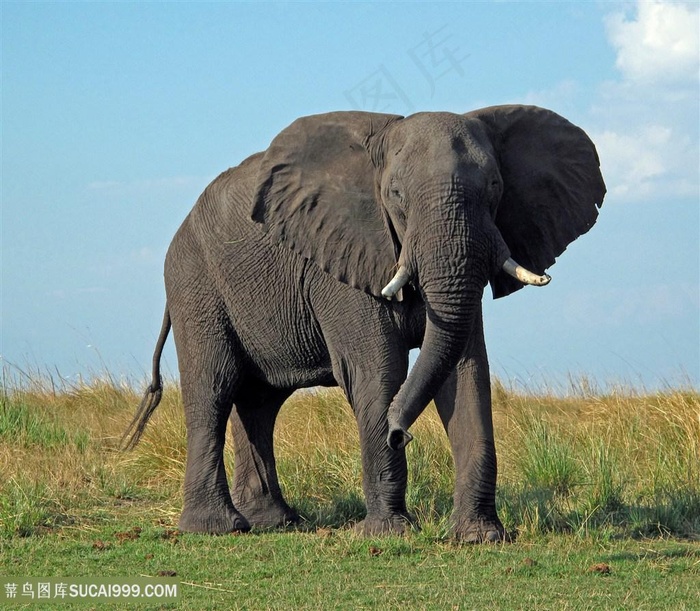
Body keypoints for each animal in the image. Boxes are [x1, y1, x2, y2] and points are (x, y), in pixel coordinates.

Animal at [126, 107, 608, 544]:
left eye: (495, 187)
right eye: (395, 194)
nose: (400, 434)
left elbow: (465, 373)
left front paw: (479, 537)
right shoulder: (342, 260)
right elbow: (378, 373)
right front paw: (389, 535)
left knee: (260, 402)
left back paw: (274, 523)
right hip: (195, 284)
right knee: (214, 388)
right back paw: (217, 529)